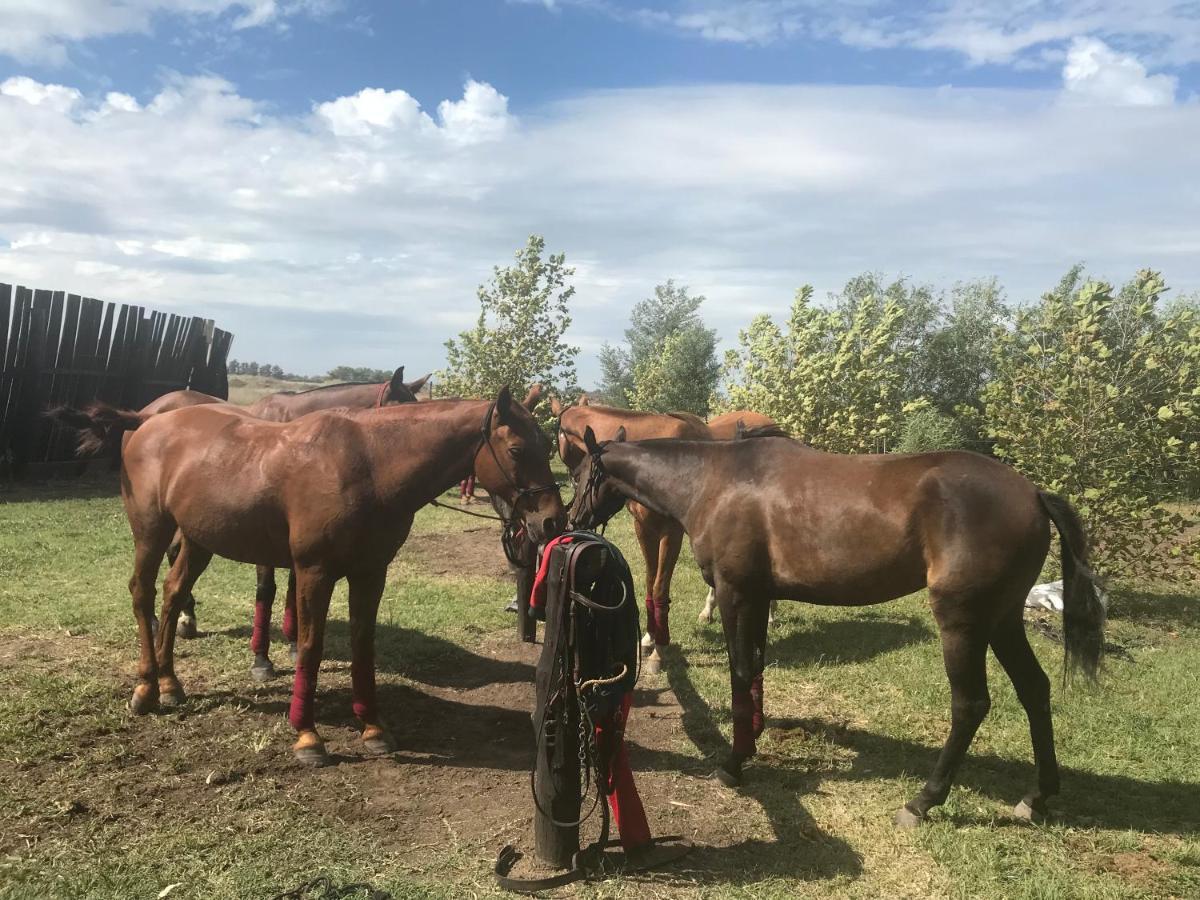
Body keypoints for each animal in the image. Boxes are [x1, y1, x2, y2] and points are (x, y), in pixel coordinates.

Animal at [55, 388, 561, 768]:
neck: (370, 466)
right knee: (142, 594)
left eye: (548, 446)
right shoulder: (315, 572)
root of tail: (146, 422)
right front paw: (308, 736)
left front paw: (372, 728)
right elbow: (311, 646)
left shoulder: (370, 573)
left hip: (198, 540)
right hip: (152, 532)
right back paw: (145, 689)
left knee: (173, 594)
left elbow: (362, 644)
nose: (552, 521)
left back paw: (170, 683)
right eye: (517, 450)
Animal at [552, 398, 710, 672]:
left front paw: (659, 651)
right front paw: (649, 638)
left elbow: (660, 588)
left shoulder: (671, 533)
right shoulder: (643, 528)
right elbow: (649, 582)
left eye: (582, 473)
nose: (572, 519)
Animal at [566, 427, 1099, 830]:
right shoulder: (759, 597)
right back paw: (1037, 796)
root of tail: (1033, 494)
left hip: (964, 623)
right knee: (1035, 689)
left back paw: (923, 800)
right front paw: (753, 739)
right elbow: (755, 670)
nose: (570, 520)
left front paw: (733, 764)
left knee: (970, 705)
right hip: (1003, 620)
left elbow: (740, 673)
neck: (712, 482)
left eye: (577, 474)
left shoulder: (737, 594)